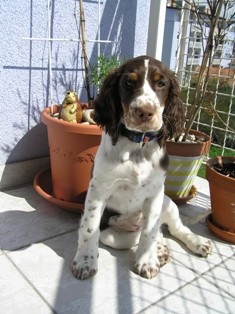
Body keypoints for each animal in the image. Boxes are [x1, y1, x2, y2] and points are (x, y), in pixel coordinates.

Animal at [72, 55, 212, 280]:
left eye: (161, 83)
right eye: (128, 82)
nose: (145, 112)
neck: (137, 145)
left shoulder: (155, 193)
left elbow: (150, 230)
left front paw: (146, 261)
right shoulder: (98, 190)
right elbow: (90, 228)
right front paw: (85, 262)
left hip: (167, 202)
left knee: (174, 229)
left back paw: (196, 243)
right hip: (112, 230)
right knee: (139, 235)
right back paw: (162, 250)